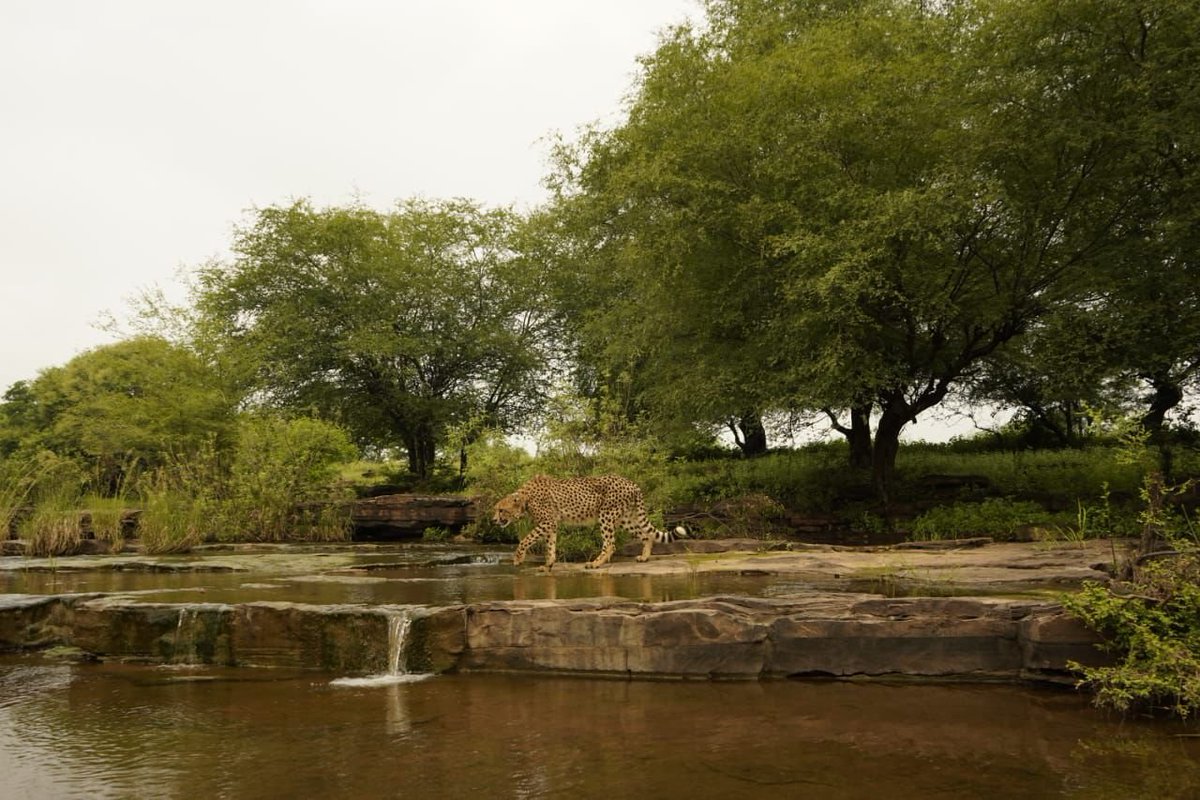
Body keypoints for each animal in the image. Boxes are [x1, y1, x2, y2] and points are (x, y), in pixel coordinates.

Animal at [491, 473, 685, 571]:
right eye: (496, 509)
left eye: (501, 510)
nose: (493, 520)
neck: (525, 499)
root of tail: (632, 483)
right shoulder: (551, 524)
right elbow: (550, 545)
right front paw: (548, 564)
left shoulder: (547, 522)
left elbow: (525, 540)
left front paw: (518, 558)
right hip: (624, 518)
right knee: (646, 535)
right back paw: (644, 557)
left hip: (606, 515)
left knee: (610, 543)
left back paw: (595, 563)